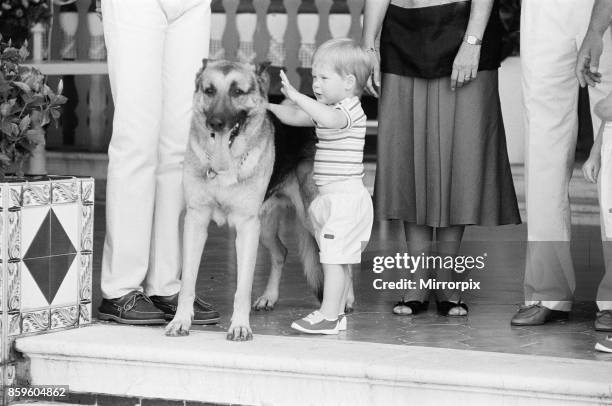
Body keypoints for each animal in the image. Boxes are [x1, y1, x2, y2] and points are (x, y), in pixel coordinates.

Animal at [163, 59, 326, 340]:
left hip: (309, 218)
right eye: (209, 91)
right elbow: (187, 284)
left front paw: (240, 326)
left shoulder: (246, 228)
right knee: (281, 252)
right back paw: (269, 297)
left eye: (237, 92)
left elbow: (243, 287)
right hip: (265, 226)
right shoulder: (196, 223)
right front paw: (181, 320)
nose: (216, 123)